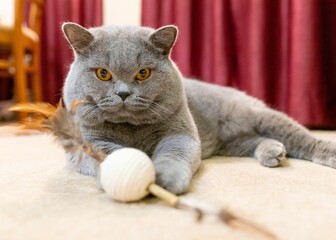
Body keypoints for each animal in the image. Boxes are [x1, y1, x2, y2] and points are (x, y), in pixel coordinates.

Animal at [61, 22, 334, 194]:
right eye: (103, 74)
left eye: (143, 73)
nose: (123, 93)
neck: (130, 129)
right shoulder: (88, 143)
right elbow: (111, 155)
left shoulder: (180, 134)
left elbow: (173, 154)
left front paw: (163, 180)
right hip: (234, 143)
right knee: (257, 140)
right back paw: (273, 152)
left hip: (259, 116)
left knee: (302, 137)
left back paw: (325, 152)